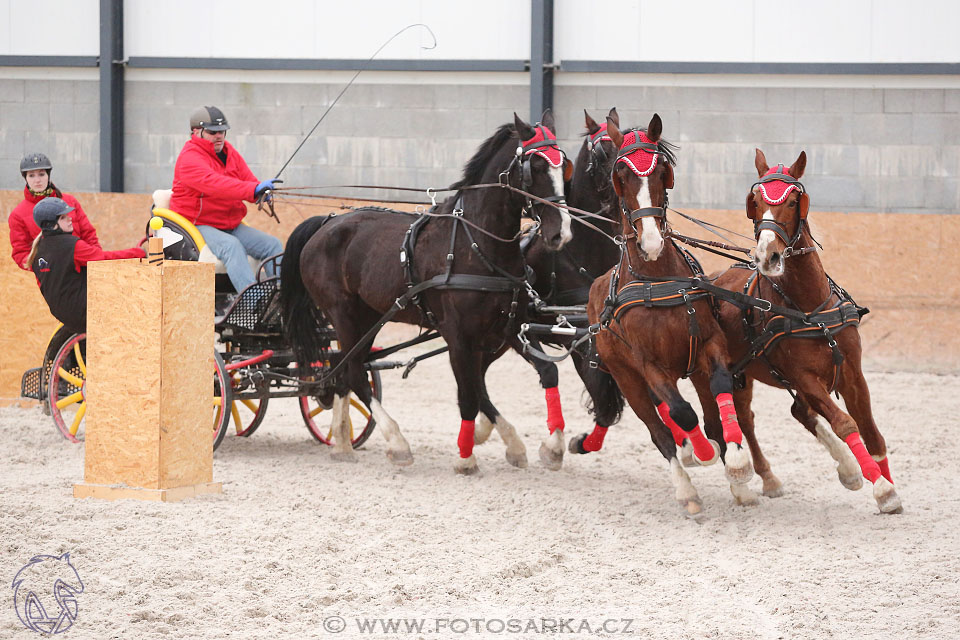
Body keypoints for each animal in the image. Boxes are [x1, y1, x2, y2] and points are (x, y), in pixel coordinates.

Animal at [282, 112, 572, 472]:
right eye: (536, 166)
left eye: (564, 165)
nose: (562, 232)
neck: (476, 246)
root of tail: (326, 222)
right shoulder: (458, 336)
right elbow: (468, 394)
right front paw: (466, 458)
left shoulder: (511, 327)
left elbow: (548, 371)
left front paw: (548, 447)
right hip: (343, 313)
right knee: (354, 372)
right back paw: (396, 443)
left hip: (369, 316)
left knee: (344, 367)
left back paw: (342, 443)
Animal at [588, 115, 752, 516]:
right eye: (620, 173)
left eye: (662, 170)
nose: (650, 241)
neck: (657, 280)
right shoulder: (648, 366)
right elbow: (681, 414)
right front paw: (702, 454)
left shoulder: (709, 345)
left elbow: (720, 392)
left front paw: (737, 465)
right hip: (628, 379)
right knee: (659, 431)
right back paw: (686, 489)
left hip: (690, 371)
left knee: (705, 416)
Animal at [704, 150, 900, 516]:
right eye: (755, 201)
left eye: (794, 201)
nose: (767, 255)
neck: (811, 309)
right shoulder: (805, 377)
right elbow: (845, 423)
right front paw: (881, 488)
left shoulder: (852, 374)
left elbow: (871, 433)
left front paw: (886, 484)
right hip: (735, 371)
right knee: (742, 419)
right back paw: (765, 477)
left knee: (783, 414)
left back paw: (839, 471)